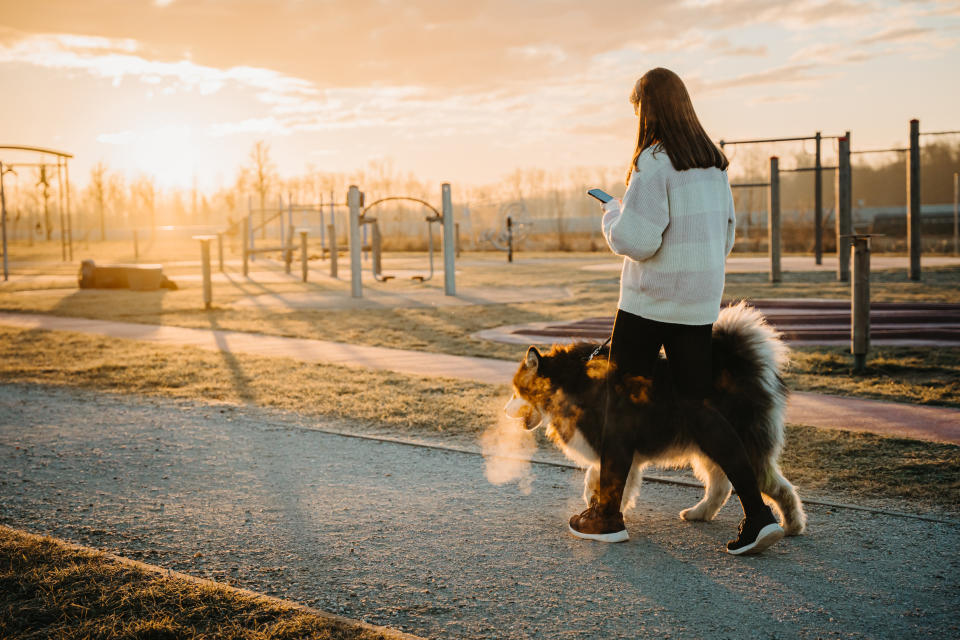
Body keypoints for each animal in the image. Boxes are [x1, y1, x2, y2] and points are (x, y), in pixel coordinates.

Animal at [506, 302, 808, 536]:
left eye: (516, 391)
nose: (505, 412)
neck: (568, 383)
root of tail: (738, 364)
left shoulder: (614, 443)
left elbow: (609, 481)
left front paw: (604, 514)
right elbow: (598, 478)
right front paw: (600, 505)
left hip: (737, 443)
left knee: (777, 486)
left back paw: (791, 525)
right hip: (710, 445)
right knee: (721, 486)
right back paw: (700, 512)